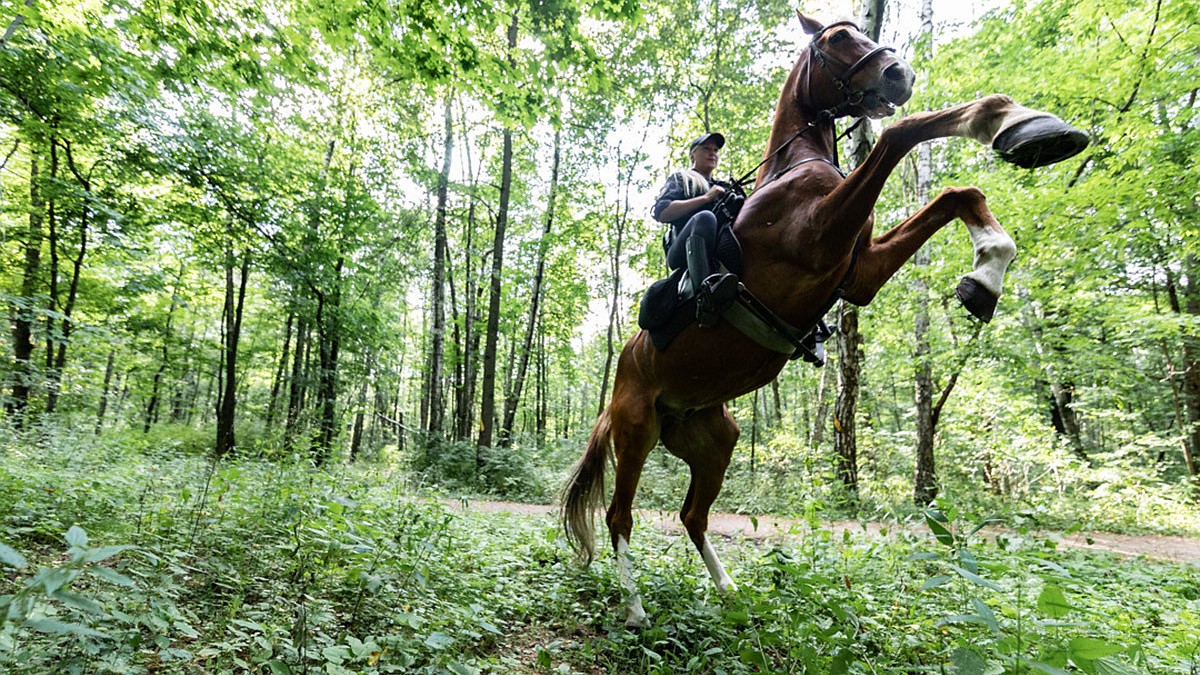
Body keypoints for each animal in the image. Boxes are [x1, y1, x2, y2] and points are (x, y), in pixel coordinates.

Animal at [561, 10, 1089, 624]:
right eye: (838, 39)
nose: (900, 75)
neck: (794, 169)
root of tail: (622, 379)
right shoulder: (819, 239)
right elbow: (902, 133)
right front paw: (1003, 124)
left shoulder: (858, 274)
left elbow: (958, 193)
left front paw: (988, 267)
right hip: (637, 431)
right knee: (619, 515)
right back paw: (635, 609)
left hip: (714, 440)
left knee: (693, 515)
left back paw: (729, 591)